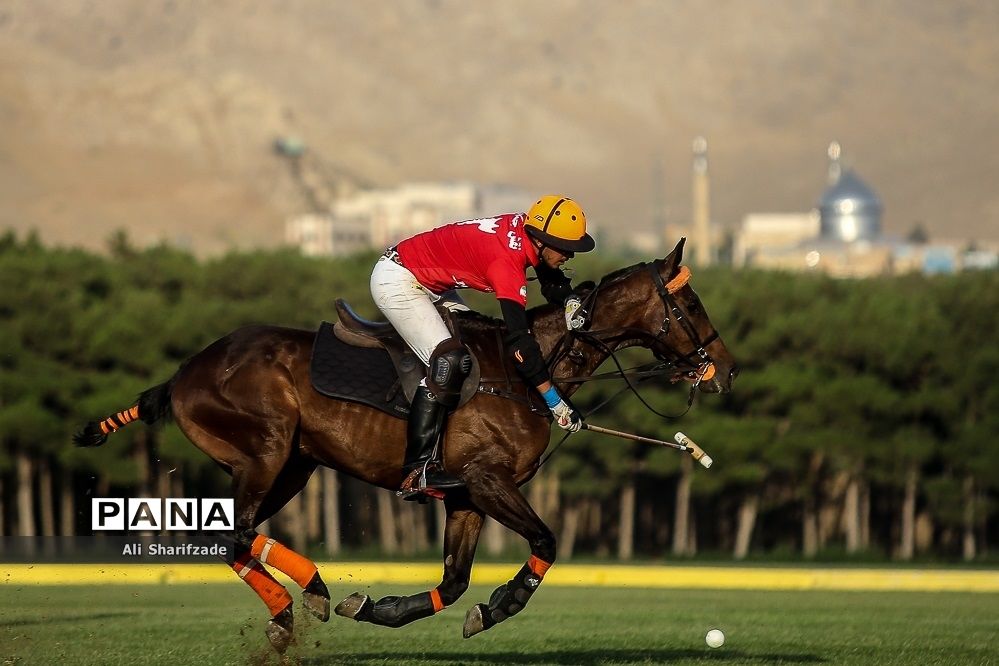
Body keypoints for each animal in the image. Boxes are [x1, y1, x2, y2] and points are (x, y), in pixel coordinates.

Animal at [76, 237, 736, 648]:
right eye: (690, 301)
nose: (726, 371)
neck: (524, 372)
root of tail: (183, 374)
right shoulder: (486, 480)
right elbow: (546, 541)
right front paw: (503, 603)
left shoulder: (467, 495)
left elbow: (454, 580)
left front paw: (384, 608)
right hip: (265, 449)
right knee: (236, 532)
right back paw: (304, 596)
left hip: (293, 464)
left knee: (238, 537)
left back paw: (303, 601)